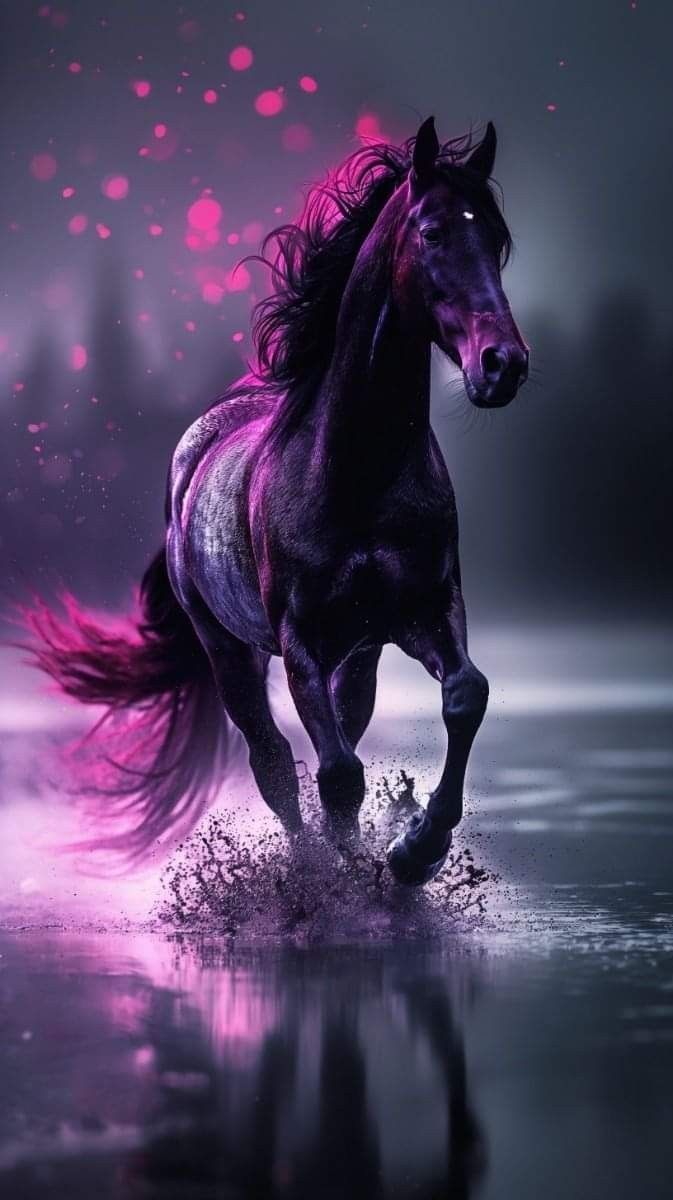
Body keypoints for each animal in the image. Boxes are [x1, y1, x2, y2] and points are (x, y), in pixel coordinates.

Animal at [27, 117, 528, 885]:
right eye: (434, 231)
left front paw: (415, 851)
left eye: (497, 239)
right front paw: (348, 875)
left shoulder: (426, 608)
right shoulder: (300, 643)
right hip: (229, 651)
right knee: (274, 765)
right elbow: (334, 776)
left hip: (360, 656)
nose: (503, 365)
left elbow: (465, 697)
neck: (356, 470)